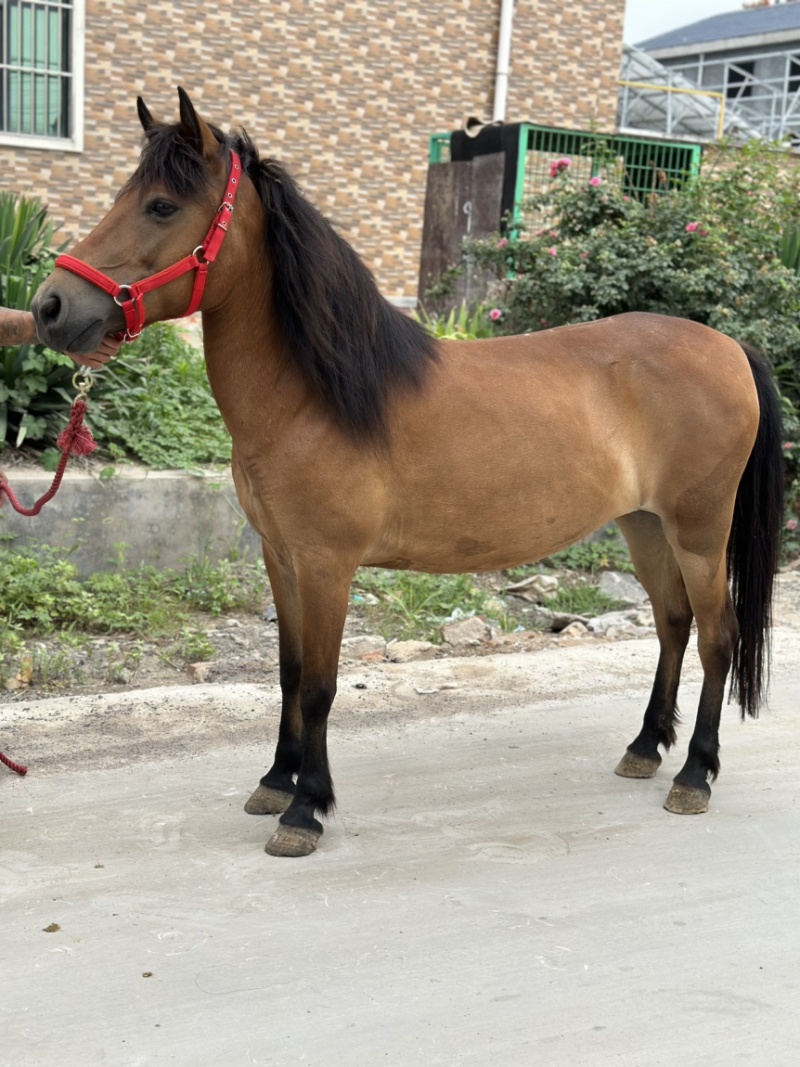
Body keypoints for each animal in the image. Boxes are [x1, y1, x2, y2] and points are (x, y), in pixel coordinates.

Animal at [32, 88, 784, 858]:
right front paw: (275, 780)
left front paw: (305, 809)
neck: (312, 396)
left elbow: (321, 686)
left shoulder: (327, 565)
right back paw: (644, 747)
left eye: (160, 206)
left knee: (718, 637)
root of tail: (730, 346)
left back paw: (693, 775)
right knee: (672, 624)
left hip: (699, 532)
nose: (50, 307)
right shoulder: (281, 557)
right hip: (644, 525)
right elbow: (289, 672)